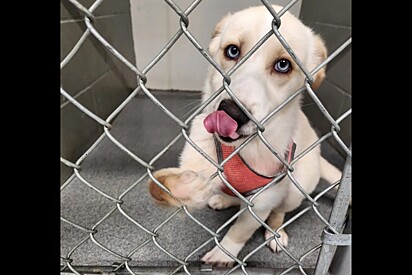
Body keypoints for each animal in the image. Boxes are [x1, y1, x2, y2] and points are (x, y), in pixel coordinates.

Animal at [148, 4, 342, 268]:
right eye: (232, 51)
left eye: (283, 65)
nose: (232, 112)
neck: (243, 149)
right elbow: (171, 185)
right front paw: (178, 186)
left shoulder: (261, 203)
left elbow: (240, 231)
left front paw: (223, 254)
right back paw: (223, 199)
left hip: (297, 187)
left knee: (278, 212)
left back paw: (275, 232)